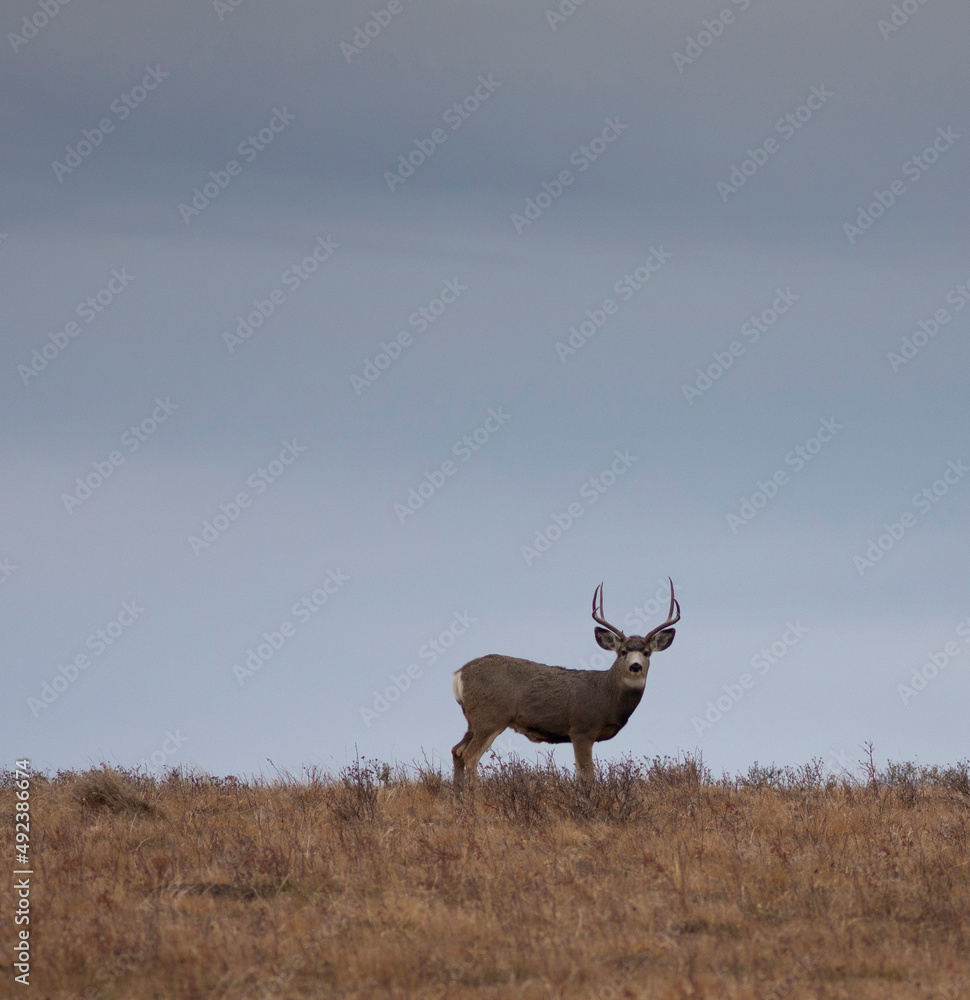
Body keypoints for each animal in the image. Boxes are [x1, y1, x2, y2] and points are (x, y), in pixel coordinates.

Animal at [450, 580, 676, 788]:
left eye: (646, 653)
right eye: (623, 652)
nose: (635, 666)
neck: (607, 695)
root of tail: (458, 674)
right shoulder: (582, 729)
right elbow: (587, 776)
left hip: (473, 720)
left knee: (457, 751)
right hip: (491, 717)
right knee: (470, 755)